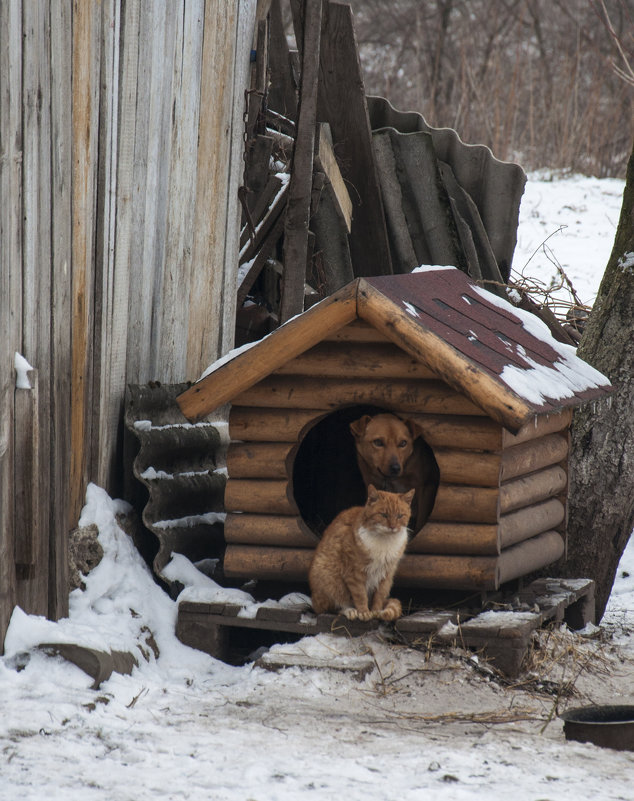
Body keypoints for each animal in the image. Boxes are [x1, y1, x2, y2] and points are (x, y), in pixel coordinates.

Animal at [304, 484, 412, 620]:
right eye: (383, 515)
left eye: (400, 516)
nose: (392, 527)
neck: (385, 540)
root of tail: (313, 600)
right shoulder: (354, 573)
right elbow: (360, 595)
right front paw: (364, 612)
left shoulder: (386, 574)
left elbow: (379, 596)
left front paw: (376, 611)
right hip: (328, 578)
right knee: (331, 607)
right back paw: (350, 611)